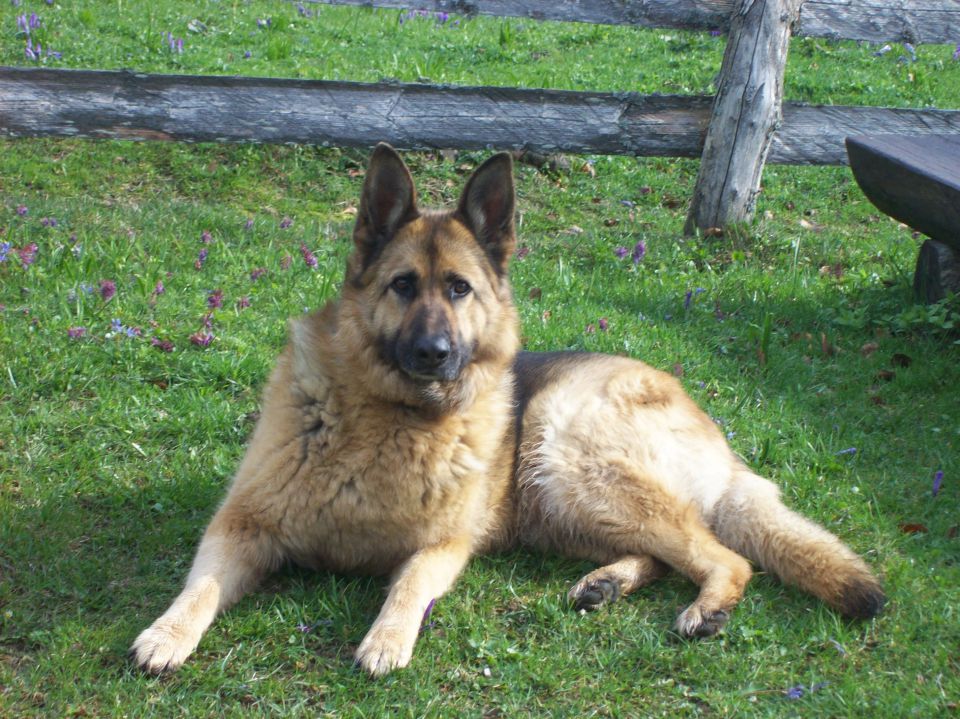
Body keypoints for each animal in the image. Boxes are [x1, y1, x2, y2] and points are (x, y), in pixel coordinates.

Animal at [131, 145, 888, 676]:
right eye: (402, 286)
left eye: (459, 289)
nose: (435, 352)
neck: (395, 416)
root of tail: (720, 445)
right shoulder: (241, 525)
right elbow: (199, 588)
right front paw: (167, 633)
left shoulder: (441, 547)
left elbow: (406, 587)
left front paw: (385, 640)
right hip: (561, 507)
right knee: (670, 553)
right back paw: (609, 582)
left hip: (564, 453)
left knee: (725, 557)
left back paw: (705, 607)